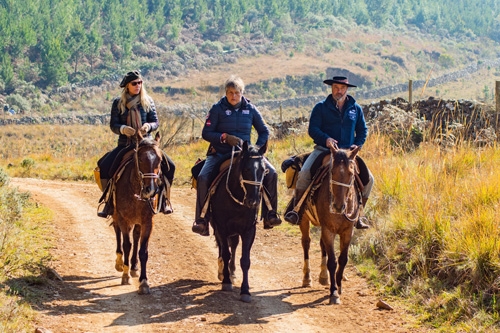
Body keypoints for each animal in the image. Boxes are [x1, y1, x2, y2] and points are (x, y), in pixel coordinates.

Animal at [111, 132, 162, 294]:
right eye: (140, 158)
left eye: (159, 160)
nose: (150, 190)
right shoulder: (123, 218)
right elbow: (127, 244)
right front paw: (125, 275)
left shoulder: (147, 222)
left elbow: (143, 250)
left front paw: (144, 282)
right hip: (116, 215)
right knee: (118, 232)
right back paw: (120, 263)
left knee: (136, 235)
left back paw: (133, 266)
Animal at [208, 140, 268, 300]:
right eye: (246, 168)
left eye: (263, 170)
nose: (253, 201)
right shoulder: (221, 227)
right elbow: (225, 253)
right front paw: (226, 282)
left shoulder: (249, 230)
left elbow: (245, 260)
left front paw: (245, 291)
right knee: (222, 247)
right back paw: (223, 272)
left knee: (233, 245)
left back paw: (232, 272)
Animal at [298, 145, 362, 304]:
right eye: (332, 172)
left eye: (351, 173)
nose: (338, 206)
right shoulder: (328, 229)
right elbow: (332, 261)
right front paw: (333, 293)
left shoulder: (347, 231)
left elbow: (343, 259)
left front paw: (339, 286)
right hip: (304, 220)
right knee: (306, 243)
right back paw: (307, 278)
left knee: (321, 245)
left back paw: (324, 276)